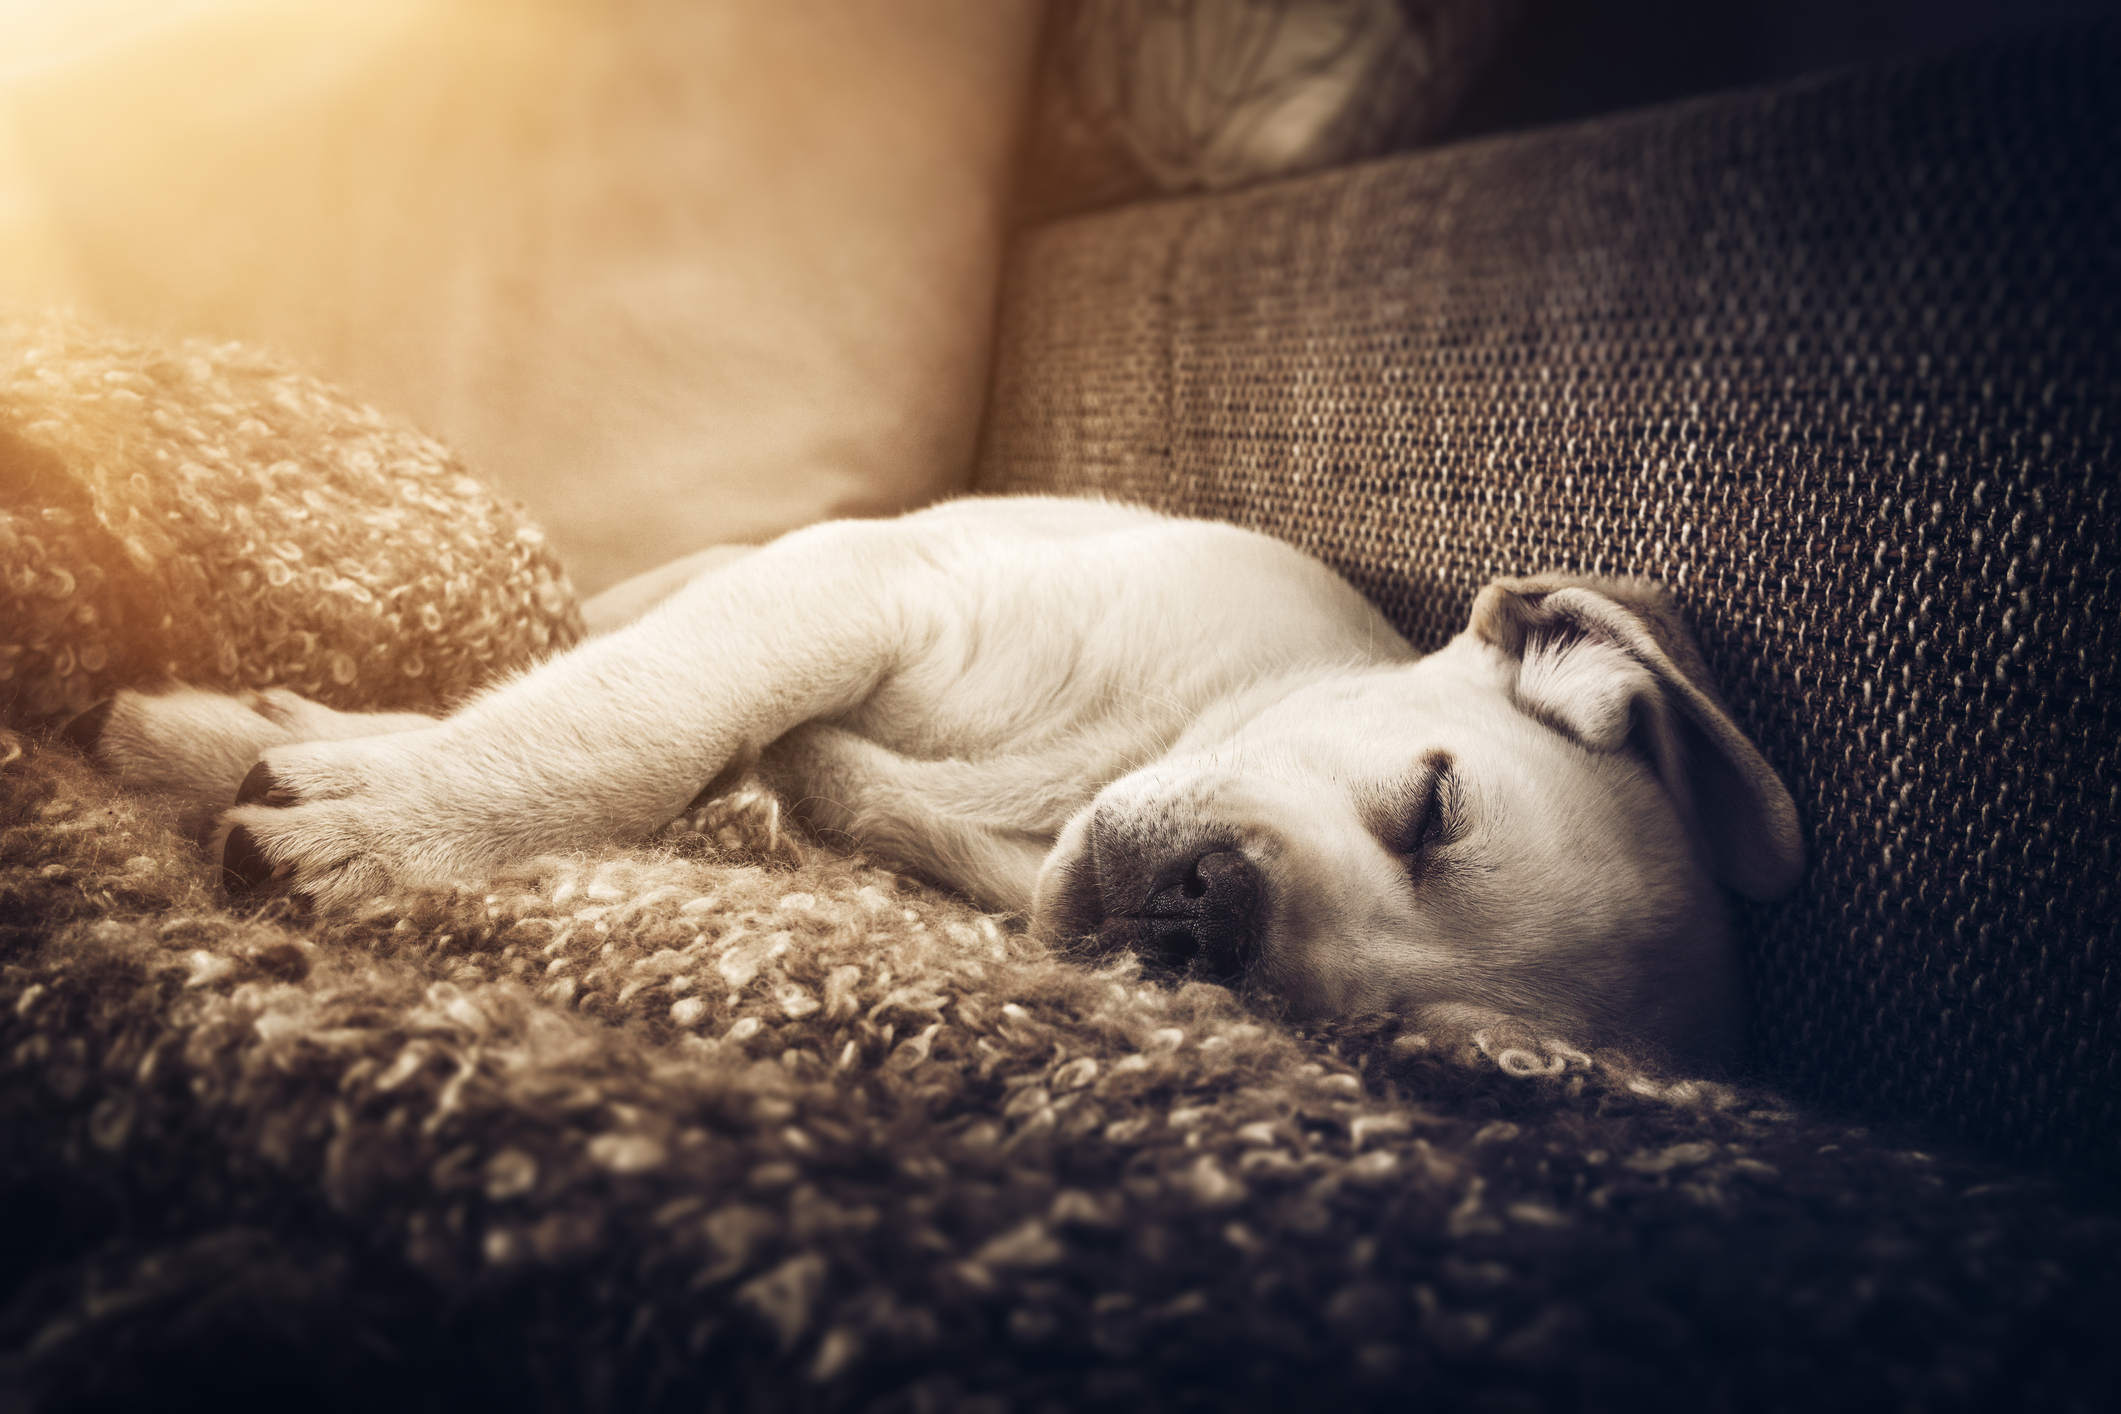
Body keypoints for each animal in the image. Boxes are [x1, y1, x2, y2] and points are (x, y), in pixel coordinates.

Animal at [74, 498, 1798, 1059]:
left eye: (1372, 1041)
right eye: (1428, 809)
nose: (1210, 923)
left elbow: (715, 752)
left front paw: (360, 796)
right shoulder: (851, 583)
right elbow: (641, 720)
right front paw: (390, 818)